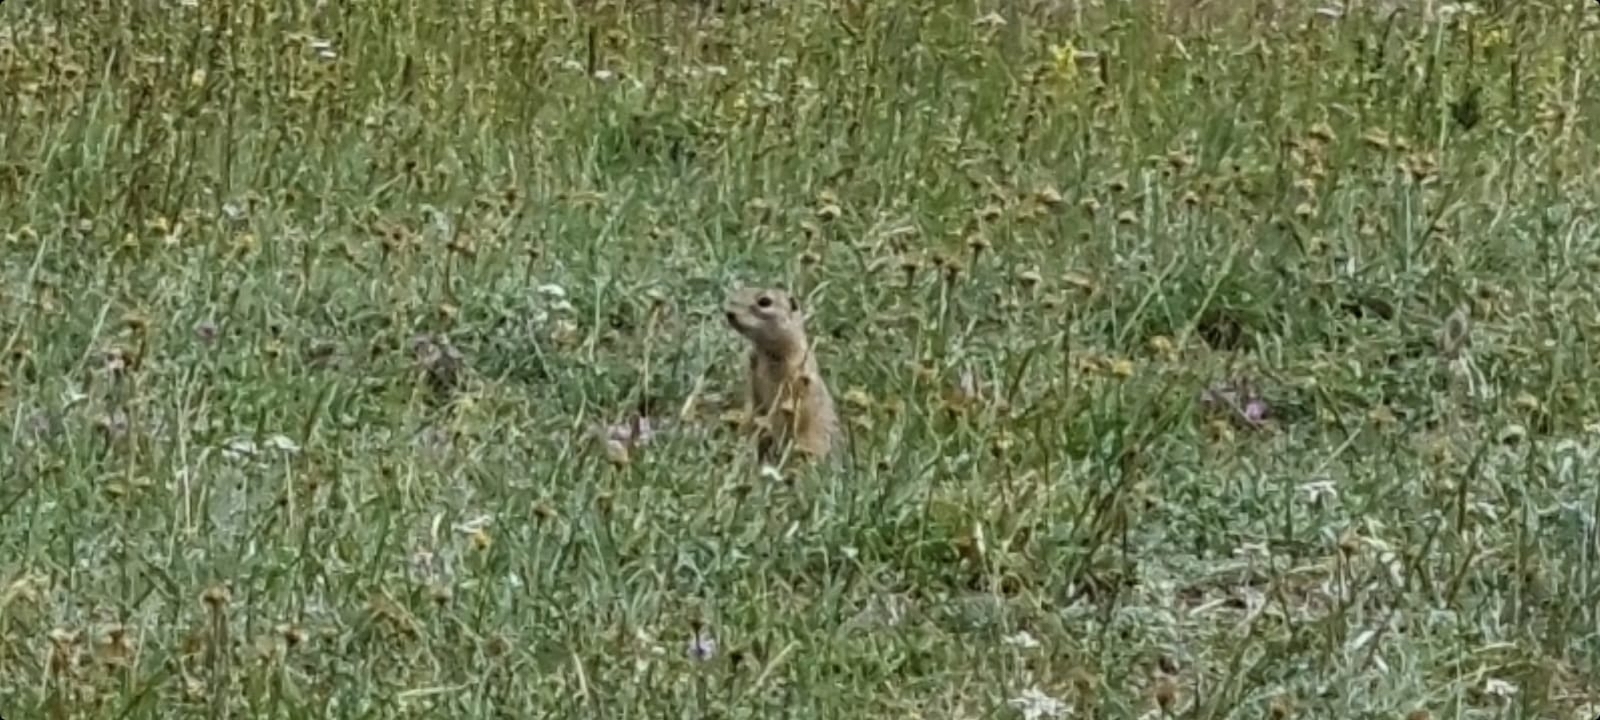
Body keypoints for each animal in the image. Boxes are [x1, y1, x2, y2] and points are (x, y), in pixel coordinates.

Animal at [726, 284, 844, 464]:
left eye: (764, 301)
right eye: (741, 290)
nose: (729, 313)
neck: (766, 351)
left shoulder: (789, 381)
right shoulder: (751, 368)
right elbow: (751, 402)